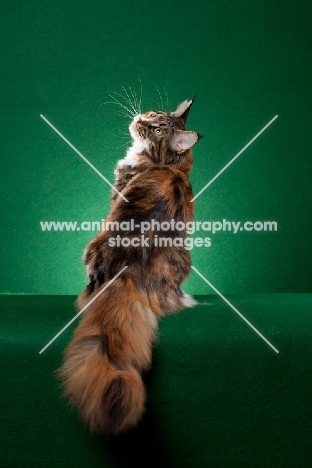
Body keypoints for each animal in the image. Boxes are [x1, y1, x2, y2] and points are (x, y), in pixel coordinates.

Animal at [58, 96, 200, 436]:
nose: (140, 119)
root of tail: (130, 275)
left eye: (157, 128)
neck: (168, 167)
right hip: (184, 258)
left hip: (91, 247)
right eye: (153, 114)